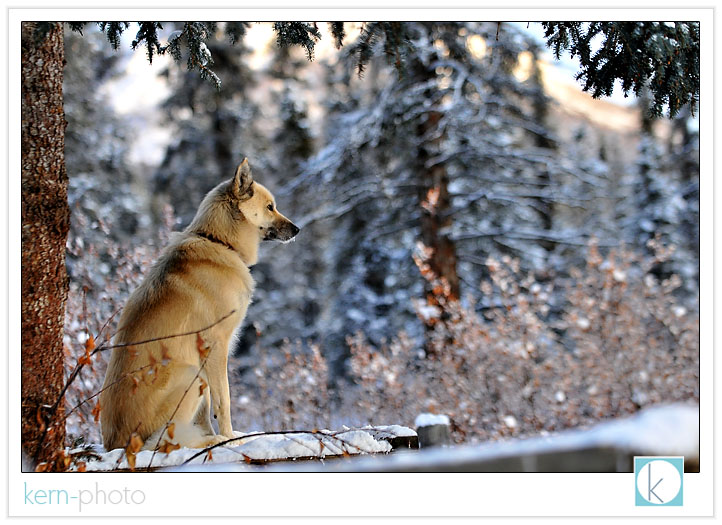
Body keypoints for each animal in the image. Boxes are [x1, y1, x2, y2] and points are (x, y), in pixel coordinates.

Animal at [99, 158, 298, 448]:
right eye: (270, 207)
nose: (297, 230)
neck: (218, 241)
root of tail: (117, 442)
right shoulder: (215, 347)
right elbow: (223, 401)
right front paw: (229, 439)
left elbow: (205, 412)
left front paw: (217, 436)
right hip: (189, 375)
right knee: (163, 442)